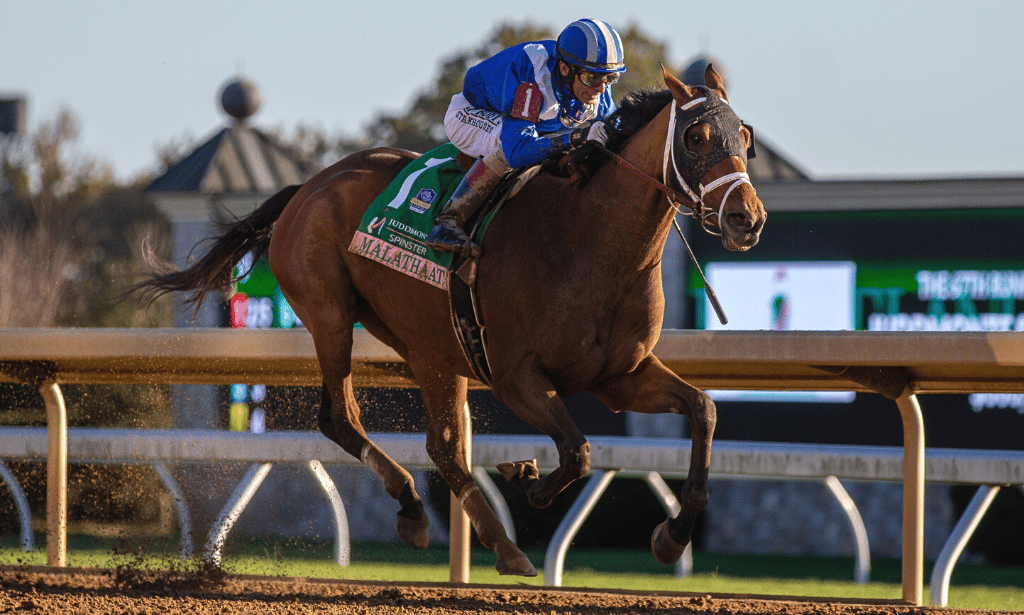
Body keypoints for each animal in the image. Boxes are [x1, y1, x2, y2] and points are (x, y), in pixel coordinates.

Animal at [137, 65, 765, 576]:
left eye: (745, 138)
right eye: (696, 136)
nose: (748, 218)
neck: (588, 239)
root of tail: (308, 186)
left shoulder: (619, 376)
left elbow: (702, 411)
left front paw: (671, 536)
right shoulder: (515, 376)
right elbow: (577, 449)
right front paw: (529, 484)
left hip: (432, 350)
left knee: (443, 447)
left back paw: (495, 543)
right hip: (333, 318)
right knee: (342, 417)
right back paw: (423, 511)